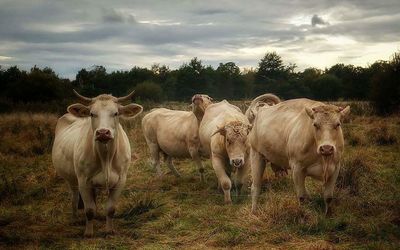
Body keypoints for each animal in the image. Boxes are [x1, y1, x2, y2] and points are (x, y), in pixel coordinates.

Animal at [50, 89, 143, 236]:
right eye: (92, 114)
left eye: (115, 113)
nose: (103, 133)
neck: (105, 158)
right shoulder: (83, 181)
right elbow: (89, 210)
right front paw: (88, 233)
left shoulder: (120, 180)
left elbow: (110, 208)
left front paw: (109, 230)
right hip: (71, 179)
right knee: (74, 197)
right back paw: (75, 218)